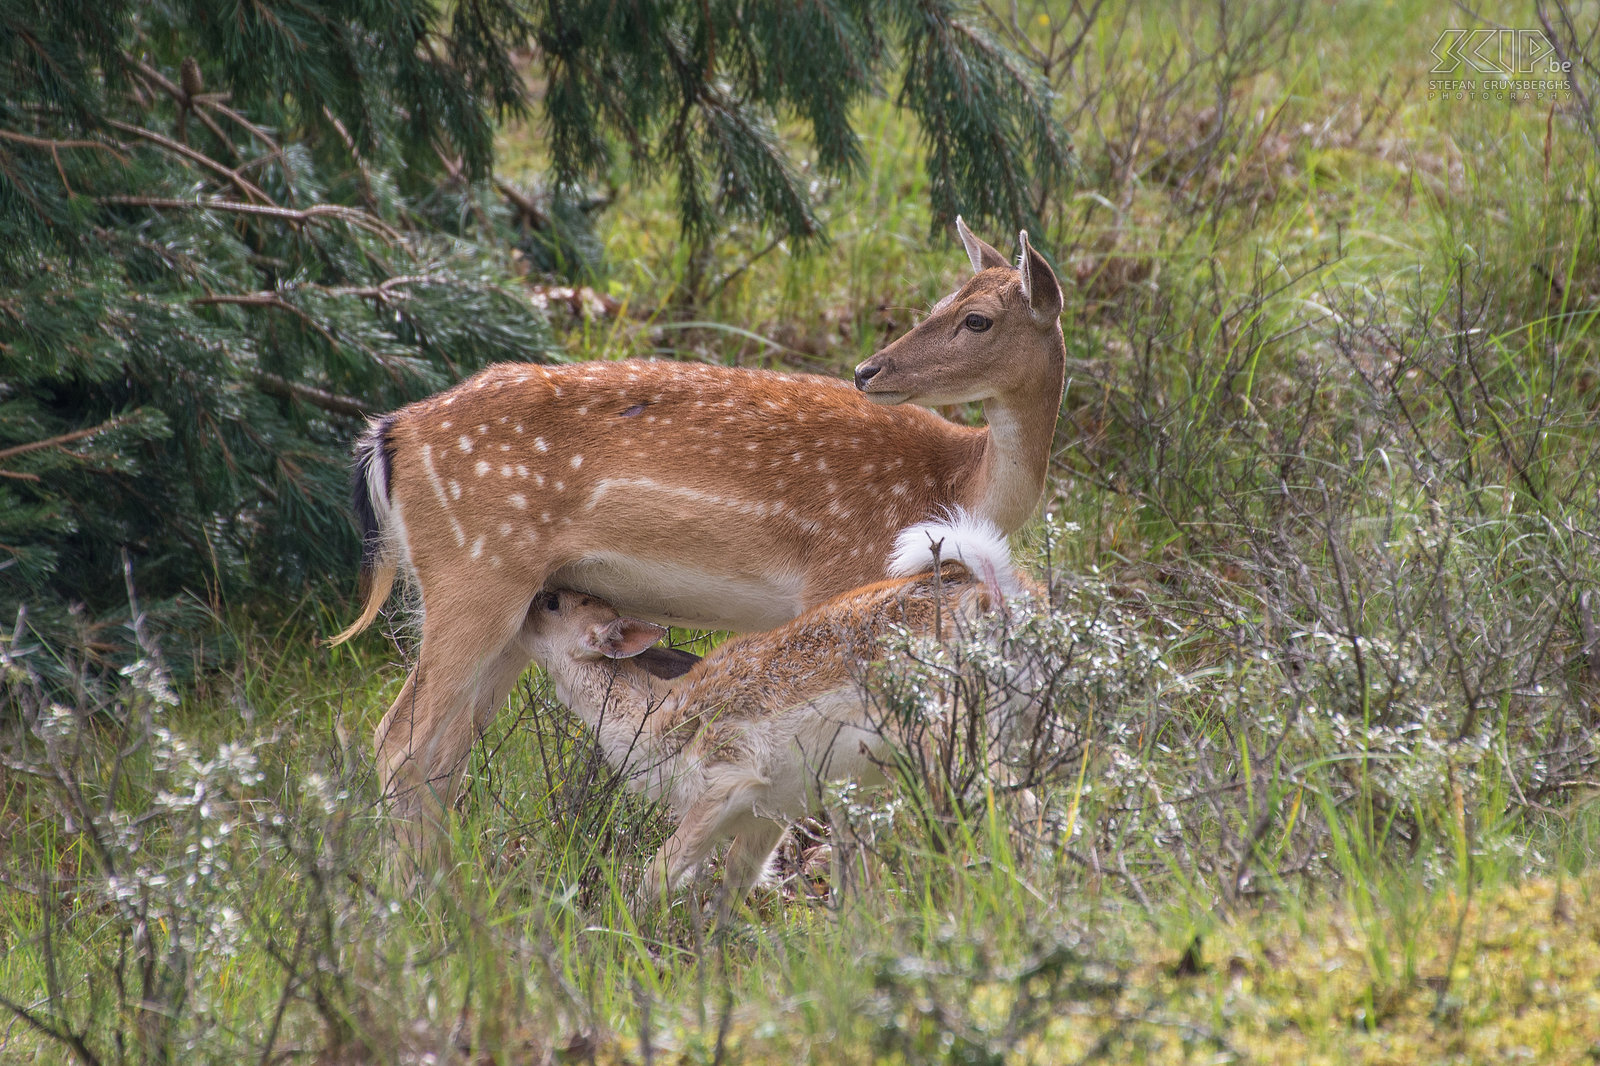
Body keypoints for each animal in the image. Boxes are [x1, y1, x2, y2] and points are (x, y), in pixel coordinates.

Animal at [331, 217, 1068, 857]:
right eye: (946, 304)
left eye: (974, 316)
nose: (869, 370)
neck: (961, 480)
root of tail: (388, 435)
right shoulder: (840, 573)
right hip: (472, 571)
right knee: (399, 744)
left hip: (513, 603)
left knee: (444, 757)